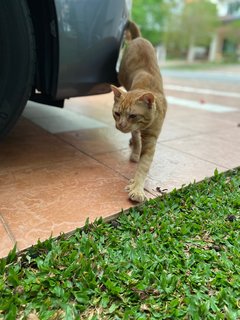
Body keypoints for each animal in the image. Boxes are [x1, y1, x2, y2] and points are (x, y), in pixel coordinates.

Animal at [110, 21, 167, 202]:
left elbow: (144, 166)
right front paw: (135, 152)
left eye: (133, 116)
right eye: (117, 114)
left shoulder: (151, 140)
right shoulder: (137, 133)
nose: (120, 125)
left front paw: (137, 188)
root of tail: (139, 38)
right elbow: (136, 140)